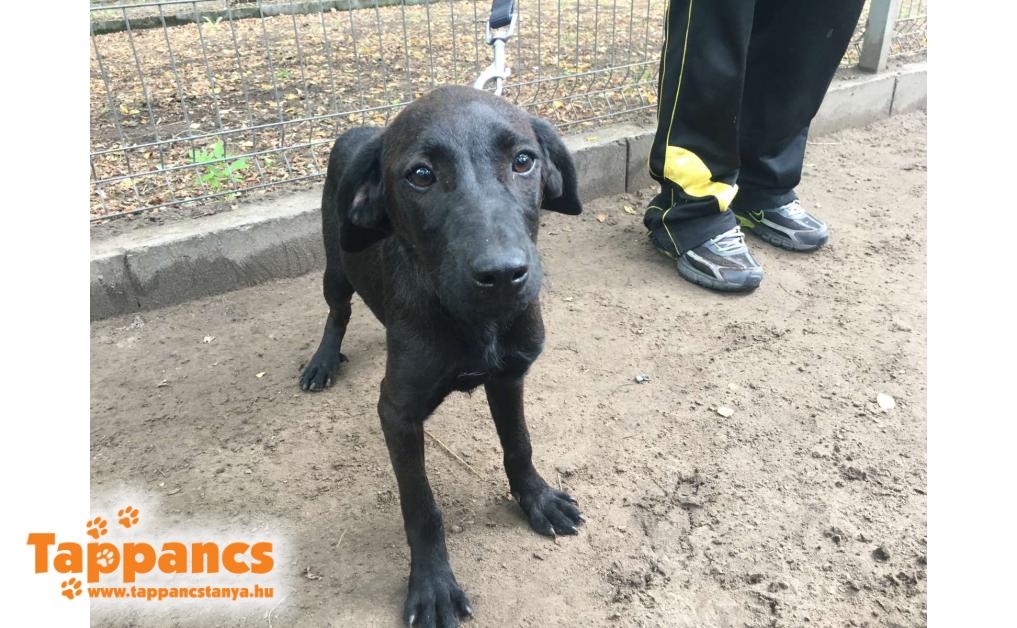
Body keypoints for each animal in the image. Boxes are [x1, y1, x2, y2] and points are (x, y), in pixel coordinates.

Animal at [298, 85, 583, 627]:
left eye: (523, 161)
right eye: (421, 175)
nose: (503, 274)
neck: (475, 322)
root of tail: (357, 132)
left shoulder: (509, 376)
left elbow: (519, 444)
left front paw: (537, 499)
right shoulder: (398, 413)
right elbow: (421, 506)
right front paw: (432, 585)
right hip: (335, 265)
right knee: (337, 312)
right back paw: (322, 362)